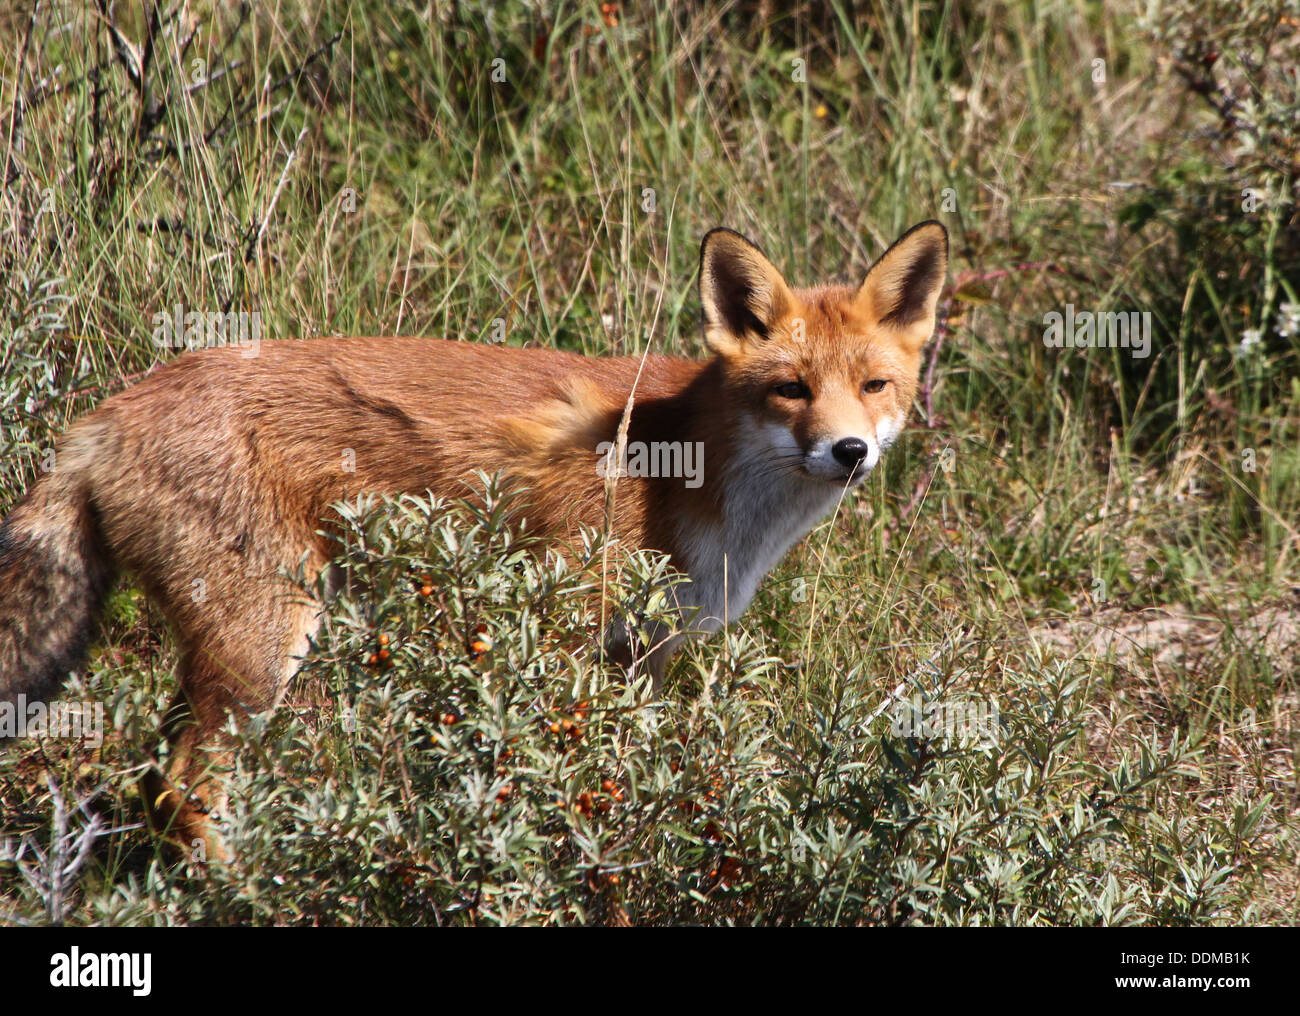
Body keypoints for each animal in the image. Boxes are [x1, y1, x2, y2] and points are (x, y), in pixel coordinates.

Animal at [5, 220, 951, 852]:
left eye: (875, 386)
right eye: (792, 389)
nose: (850, 451)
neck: (691, 474)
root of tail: (100, 418)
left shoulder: (647, 654)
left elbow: (630, 776)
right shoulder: (563, 622)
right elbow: (562, 775)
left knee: (151, 784)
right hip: (264, 645)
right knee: (182, 793)